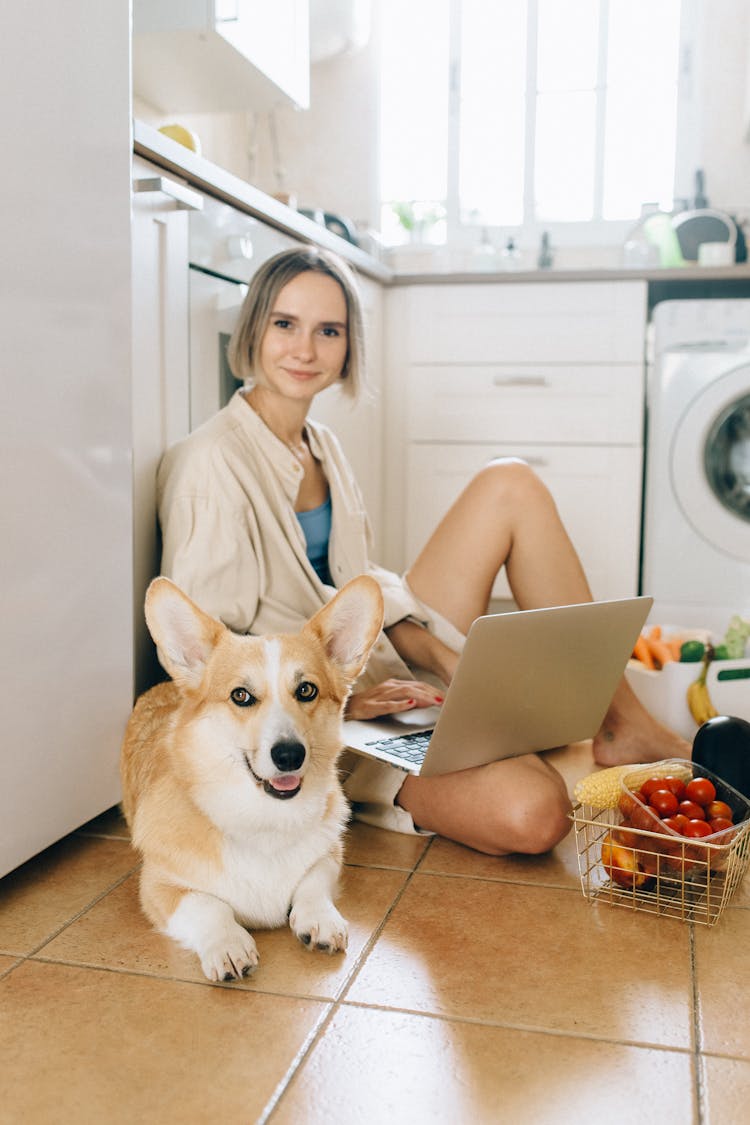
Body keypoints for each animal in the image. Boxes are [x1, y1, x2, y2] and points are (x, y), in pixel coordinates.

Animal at [122, 576, 384, 981]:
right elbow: (208, 906)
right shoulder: (159, 886)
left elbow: (313, 884)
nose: (290, 755)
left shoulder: (329, 854)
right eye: (241, 695)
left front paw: (320, 919)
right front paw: (228, 944)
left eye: (306, 690)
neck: (264, 820)